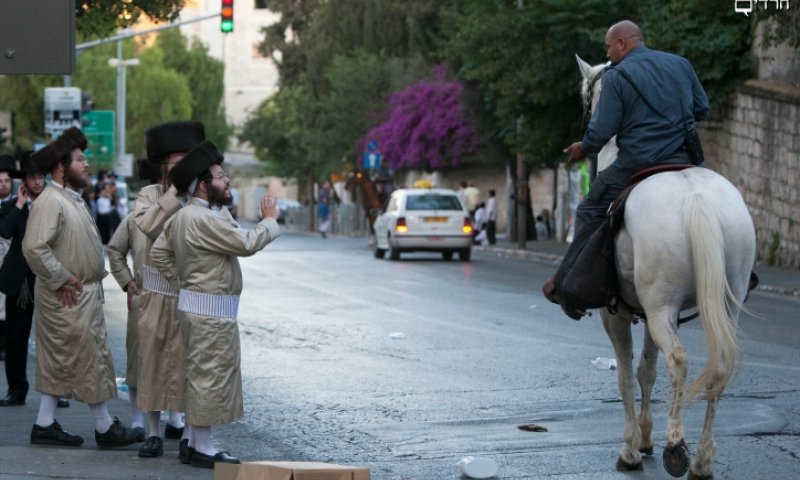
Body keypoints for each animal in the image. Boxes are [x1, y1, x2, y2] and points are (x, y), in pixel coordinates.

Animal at [576, 54, 756, 478]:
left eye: (586, 95)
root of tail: (696, 198)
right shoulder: (652, 311)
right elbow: (646, 369)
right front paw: (644, 438)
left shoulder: (618, 313)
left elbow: (627, 375)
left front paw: (630, 448)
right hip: (713, 303)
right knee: (718, 368)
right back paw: (702, 459)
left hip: (659, 308)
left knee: (679, 361)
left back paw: (676, 447)